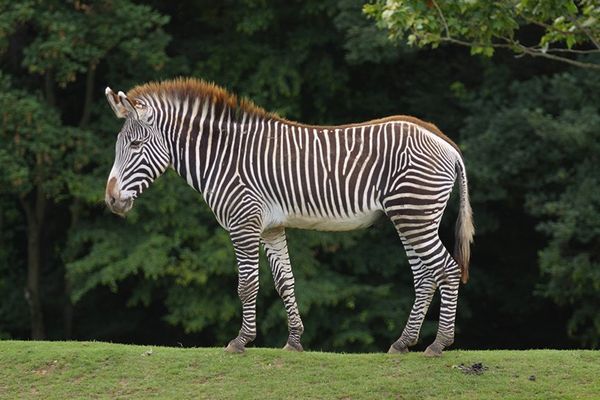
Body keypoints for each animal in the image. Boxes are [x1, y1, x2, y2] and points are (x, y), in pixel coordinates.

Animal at [105, 78, 476, 356]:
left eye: (135, 146)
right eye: (117, 146)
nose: (110, 200)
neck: (223, 157)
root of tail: (442, 138)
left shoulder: (244, 222)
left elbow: (247, 285)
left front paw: (241, 341)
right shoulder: (271, 227)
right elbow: (285, 283)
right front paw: (294, 341)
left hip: (415, 214)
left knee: (447, 269)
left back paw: (439, 344)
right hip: (409, 217)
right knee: (425, 277)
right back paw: (403, 343)